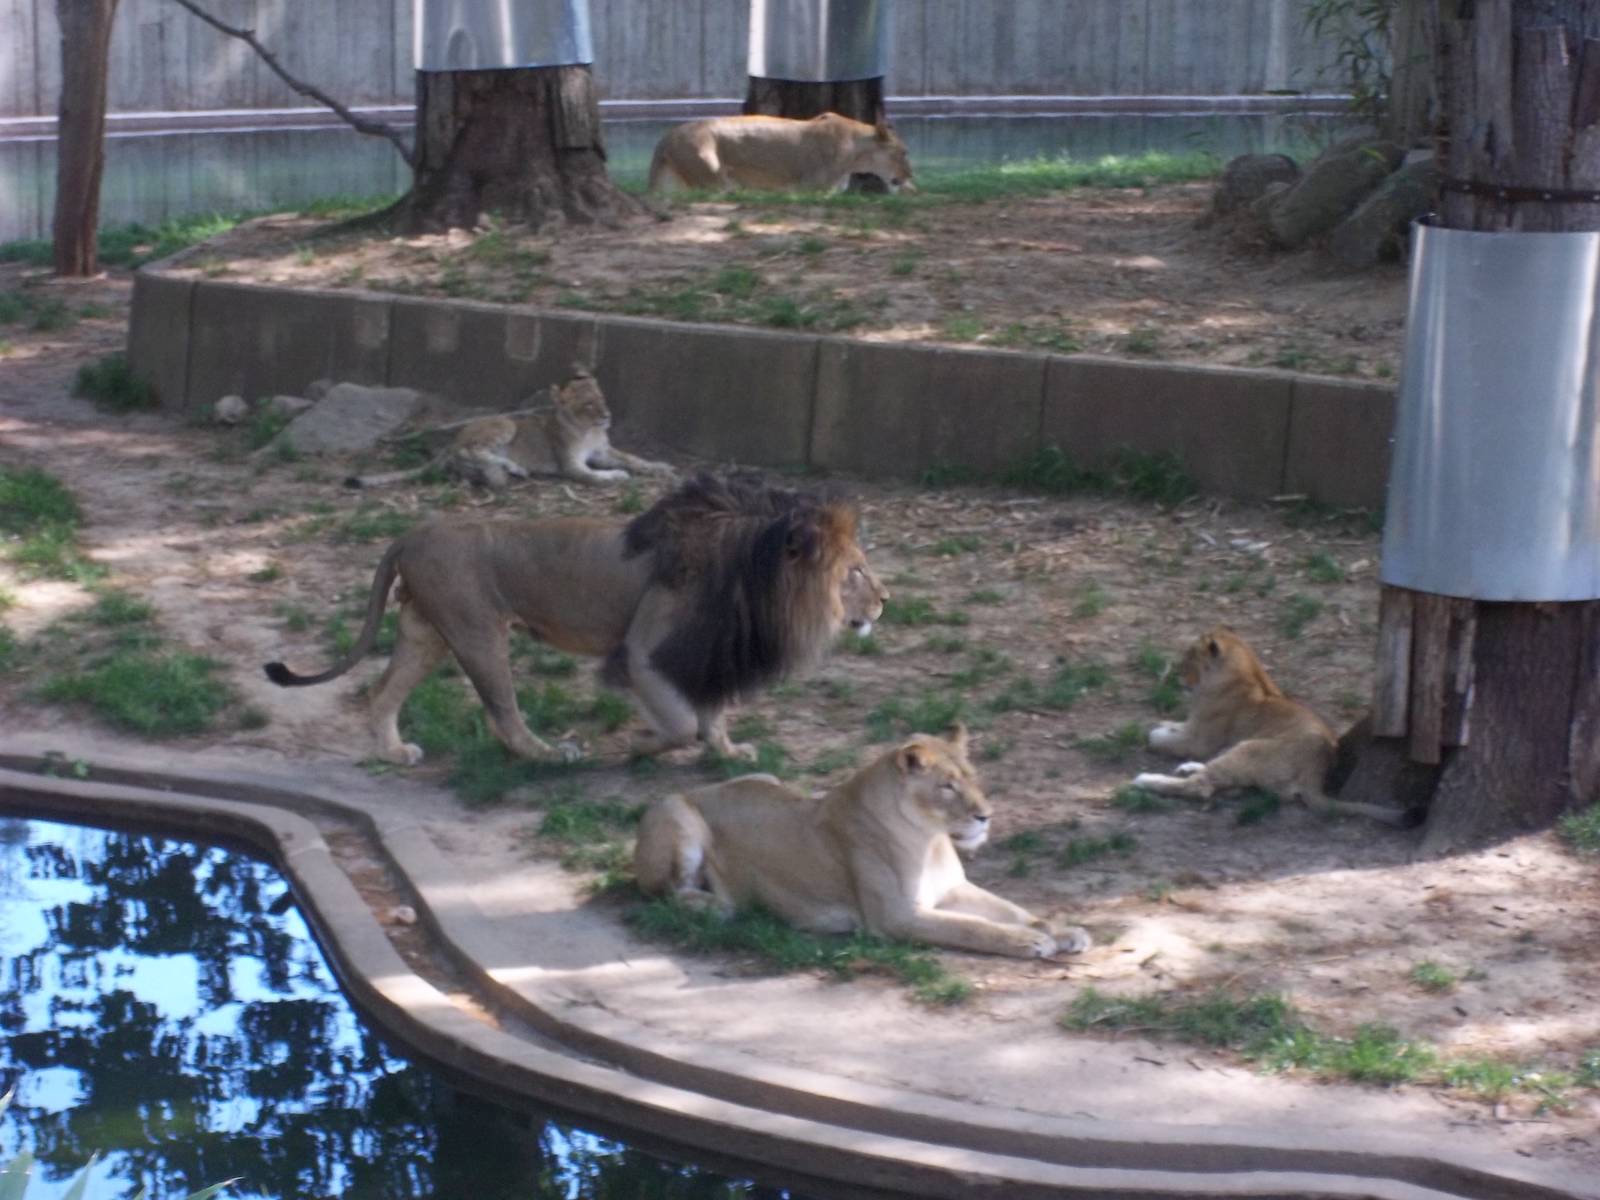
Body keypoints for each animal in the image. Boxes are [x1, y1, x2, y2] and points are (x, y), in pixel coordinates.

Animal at [264, 473, 886, 766]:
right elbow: (682, 723)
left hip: (427, 633)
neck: (755, 576)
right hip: (477, 631)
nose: (885, 600)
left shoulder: (706, 650)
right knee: (503, 715)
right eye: (855, 571)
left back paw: (392, 753)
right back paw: (548, 754)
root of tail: (414, 532)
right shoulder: (645, 651)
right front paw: (645, 746)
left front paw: (729, 753)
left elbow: (709, 718)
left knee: (382, 694)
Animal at [345, 364, 672, 490]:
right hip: (504, 423)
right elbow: (595, 476)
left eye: (601, 399)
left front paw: (662, 467)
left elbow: (634, 458)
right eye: (587, 404)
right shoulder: (571, 466)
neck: (590, 430)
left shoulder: (603, 451)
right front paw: (617, 476)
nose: (607, 414)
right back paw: (514, 467)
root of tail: (452, 441)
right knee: (471, 451)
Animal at [634, 724, 1092, 959]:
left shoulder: (955, 889)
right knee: (666, 892)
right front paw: (1028, 941)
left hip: (765, 776)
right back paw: (716, 907)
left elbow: (1015, 911)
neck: (930, 840)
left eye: (973, 776)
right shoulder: (896, 917)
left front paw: (1062, 931)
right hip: (677, 811)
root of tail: (701, 788)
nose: (986, 815)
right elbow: (972, 928)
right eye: (947, 786)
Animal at [1131, 626, 1417, 827]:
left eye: (1189, 656)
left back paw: (1146, 780)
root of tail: (1316, 772)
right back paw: (1187, 768)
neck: (1244, 671)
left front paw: (1155, 734)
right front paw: (1164, 724)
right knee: (1225, 781)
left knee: (1202, 786)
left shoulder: (1200, 739)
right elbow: (1174, 726)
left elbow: (1163, 739)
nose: (1175, 674)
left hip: (1249, 747)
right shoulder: (1194, 726)